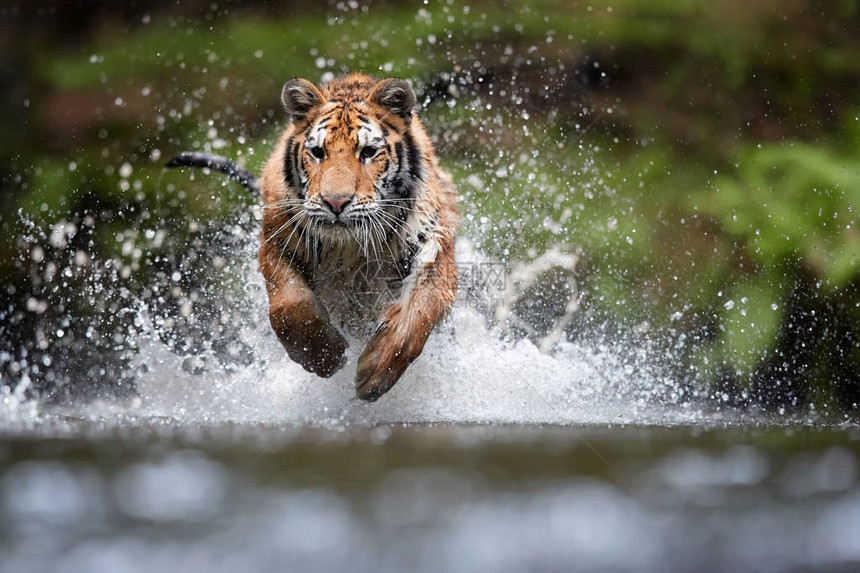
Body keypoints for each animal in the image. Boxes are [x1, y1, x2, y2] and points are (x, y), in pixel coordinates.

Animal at [167, 73, 456, 400]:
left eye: (368, 152)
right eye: (318, 152)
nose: (335, 202)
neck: (348, 249)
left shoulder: (433, 246)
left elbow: (419, 312)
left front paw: (375, 373)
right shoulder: (276, 242)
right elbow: (289, 306)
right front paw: (325, 357)